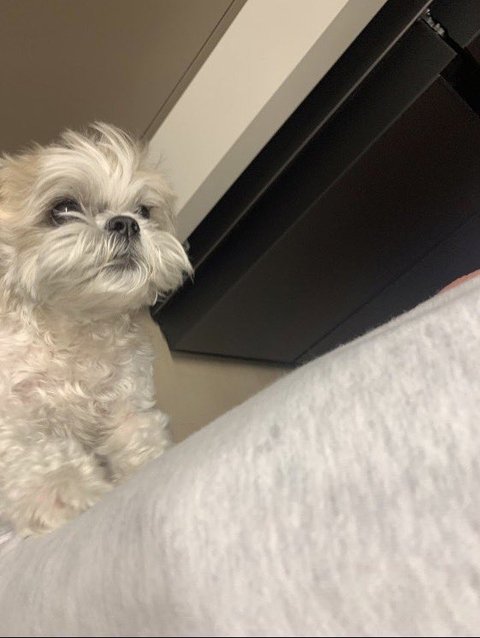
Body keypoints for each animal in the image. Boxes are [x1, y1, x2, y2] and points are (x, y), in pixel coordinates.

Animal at [0, 123, 192, 536]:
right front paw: (63, 490)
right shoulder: (10, 412)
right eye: (63, 209)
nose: (126, 222)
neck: (75, 328)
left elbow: (142, 438)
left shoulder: (130, 404)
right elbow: (27, 452)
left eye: (143, 210)